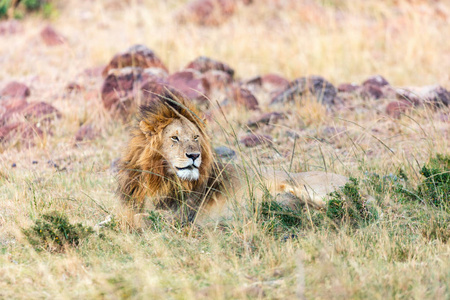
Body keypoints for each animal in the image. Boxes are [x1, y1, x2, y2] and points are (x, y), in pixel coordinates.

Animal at [116, 92, 348, 226]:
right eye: (175, 137)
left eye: (196, 137)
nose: (194, 155)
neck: (158, 178)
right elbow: (124, 215)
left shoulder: (180, 217)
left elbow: (134, 219)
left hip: (309, 188)